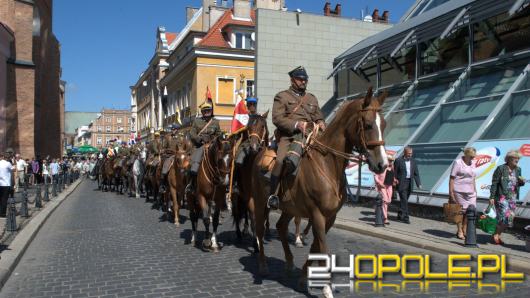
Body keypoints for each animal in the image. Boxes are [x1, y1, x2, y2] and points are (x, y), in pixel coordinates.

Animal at [250, 87, 386, 288]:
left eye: (383, 124)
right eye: (368, 125)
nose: (383, 164)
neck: (327, 164)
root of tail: (258, 153)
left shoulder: (330, 217)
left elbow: (316, 247)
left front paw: (303, 275)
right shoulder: (317, 214)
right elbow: (324, 250)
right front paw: (327, 289)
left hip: (290, 207)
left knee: (281, 226)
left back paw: (289, 263)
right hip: (260, 203)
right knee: (259, 229)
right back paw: (263, 265)